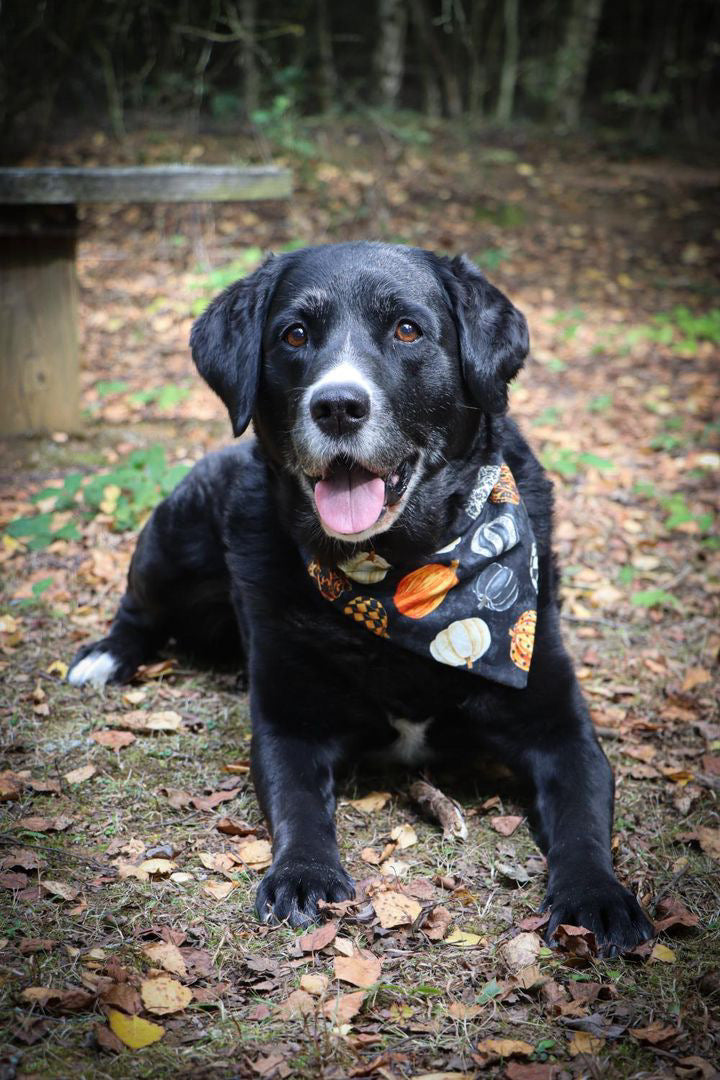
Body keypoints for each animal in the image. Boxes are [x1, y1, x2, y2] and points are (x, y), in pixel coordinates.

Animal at [67, 243, 651, 954]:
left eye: (407, 330)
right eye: (294, 335)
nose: (338, 406)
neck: (398, 571)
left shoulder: (559, 727)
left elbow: (582, 819)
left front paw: (596, 896)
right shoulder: (291, 724)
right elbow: (298, 807)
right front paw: (305, 874)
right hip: (174, 537)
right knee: (139, 609)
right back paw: (106, 657)